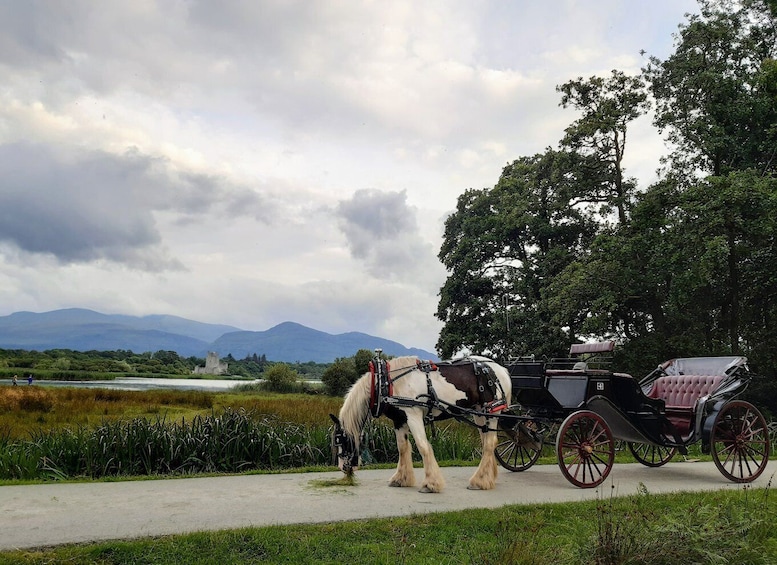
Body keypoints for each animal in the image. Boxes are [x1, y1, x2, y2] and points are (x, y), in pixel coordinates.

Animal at [330, 354, 512, 492]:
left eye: (341, 441)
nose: (343, 468)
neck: (385, 382)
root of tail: (500, 368)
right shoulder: (399, 420)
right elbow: (402, 447)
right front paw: (401, 479)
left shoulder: (413, 414)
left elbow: (422, 445)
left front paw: (430, 484)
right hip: (479, 413)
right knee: (486, 442)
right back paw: (488, 477)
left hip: (491, 412)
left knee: (490, 443)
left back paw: (479, 481)